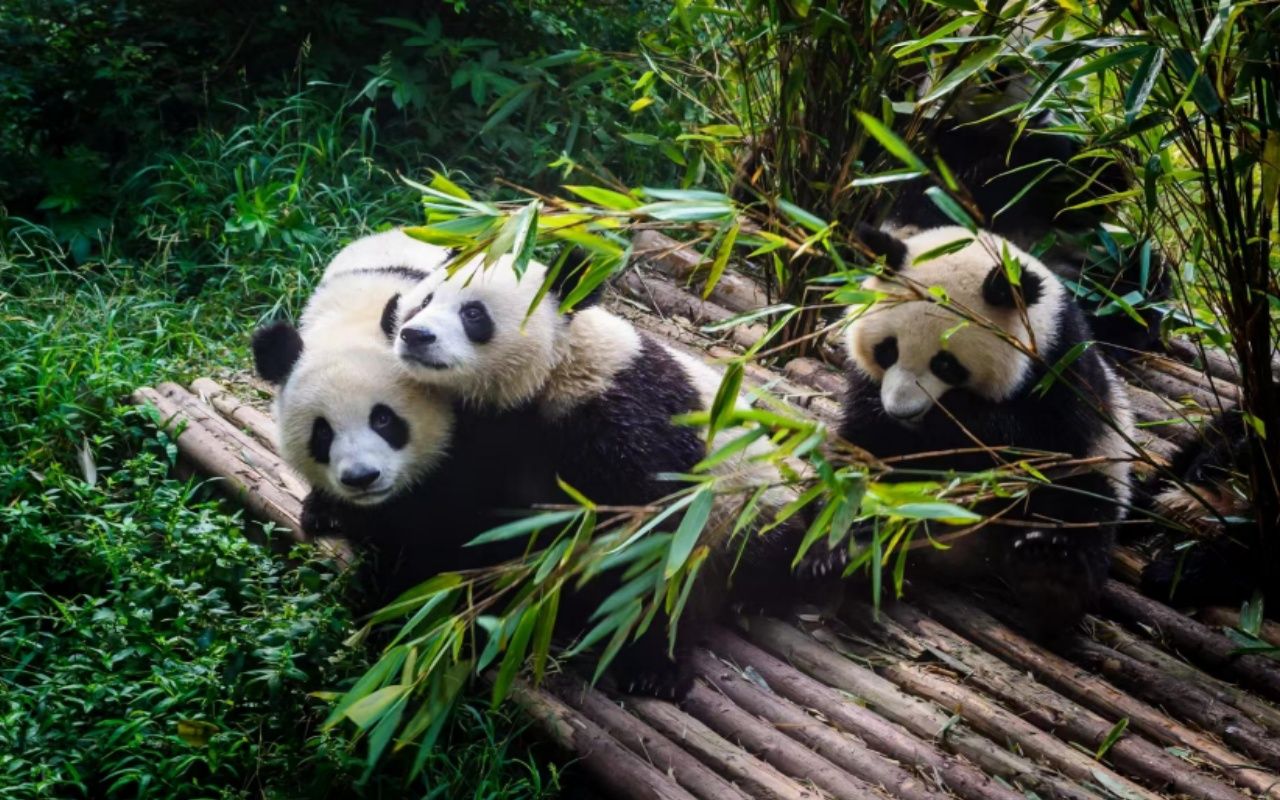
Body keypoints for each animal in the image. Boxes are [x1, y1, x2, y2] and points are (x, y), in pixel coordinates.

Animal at [386, 256, 808, 696]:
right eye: (424, 300)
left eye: (473, 314)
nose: (415, 335)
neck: (555, 371)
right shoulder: (486, 436)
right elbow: (458, 517)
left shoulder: (627, 419)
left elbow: (652, 542)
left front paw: (654, 669)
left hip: (751, 497)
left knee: (776, 546)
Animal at [839, 224, 1136, 634]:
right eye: (888, 350)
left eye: (946, 364)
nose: (902, 410)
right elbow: (865, 440)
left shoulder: (1064, 374)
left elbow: (1028, 442)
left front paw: (954, 419)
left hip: (1098, 468)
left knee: (1080, 506)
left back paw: (1049, 577)